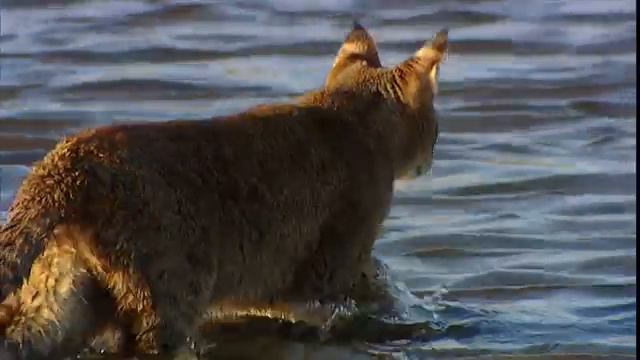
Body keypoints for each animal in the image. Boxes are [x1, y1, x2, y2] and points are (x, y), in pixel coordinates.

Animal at [0, 23, 450, 358]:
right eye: (435, 127)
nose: (432, 156)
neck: (349, 113)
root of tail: (63, 161)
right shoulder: (328, 271)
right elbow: (370, 291)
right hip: (169, 298)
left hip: (62, 300)